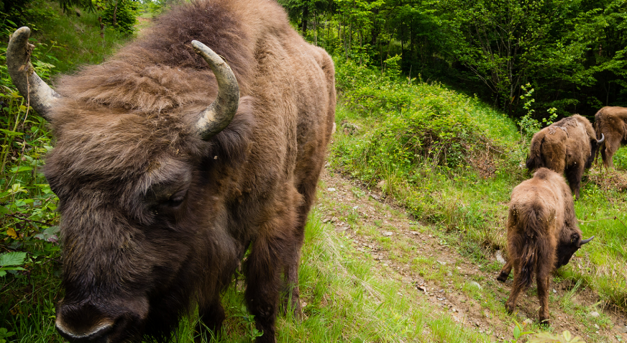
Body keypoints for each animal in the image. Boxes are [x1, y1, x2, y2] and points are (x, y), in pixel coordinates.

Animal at [6, 0, 338, 343]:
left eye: (174, 196)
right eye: (55, 185)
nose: (84, 328)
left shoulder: (272, 219)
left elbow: (263, 300)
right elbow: (211, 298)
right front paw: (208, 332)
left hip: (309, 180)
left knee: (295, 247)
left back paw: (294, 308)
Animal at [496, 169, 592, 326]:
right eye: (574, 248)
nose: (562, 263)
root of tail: (534, 208)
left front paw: (502, 275)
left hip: (516, 237)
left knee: (519, 271)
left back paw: (509, 306)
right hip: (546, 249)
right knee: (542, 279)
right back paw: (545, 318)